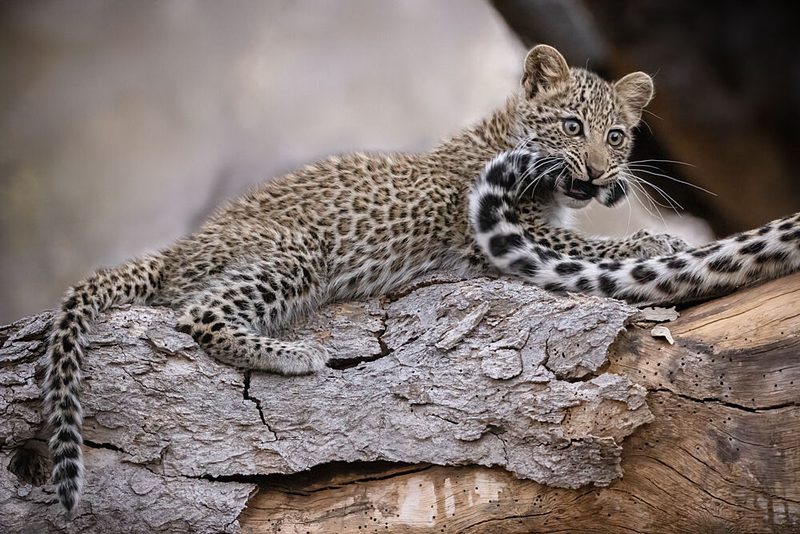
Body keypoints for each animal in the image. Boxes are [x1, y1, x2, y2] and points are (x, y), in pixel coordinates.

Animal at [44, 44, 800, 513]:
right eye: (571, 124)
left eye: (616, 136)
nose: (597, 172)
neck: (507, 131)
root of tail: (177, 249)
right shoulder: (514, 230)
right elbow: (595, 242)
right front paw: (655, 236)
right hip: (292, 251)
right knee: (195, 313)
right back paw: (289, 355)